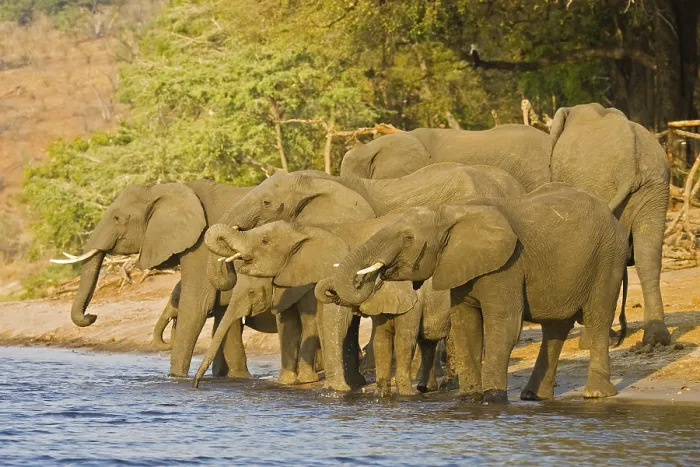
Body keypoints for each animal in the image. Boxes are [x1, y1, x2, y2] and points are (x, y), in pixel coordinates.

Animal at [50, 180, 260, 377]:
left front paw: (176, 377)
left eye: (117, 218)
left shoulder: (202, 244)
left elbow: (196, 304)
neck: (162, 189)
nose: (91, 315)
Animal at [321, 183, 629, 403]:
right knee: (556, 327)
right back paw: (534, 396)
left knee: (598, 316)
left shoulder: (507, 265)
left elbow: (503, 324)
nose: (330, 290)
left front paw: (493, 399)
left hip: (608, 257)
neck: (448, 213)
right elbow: (464, 323)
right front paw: (470, 398)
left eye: (408, 238)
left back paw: (595, 394)